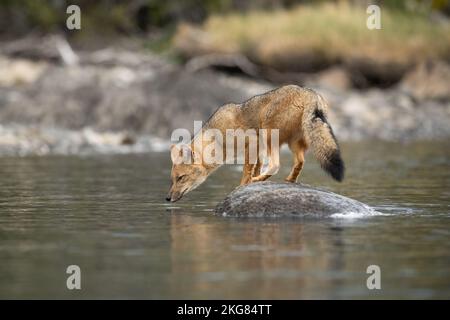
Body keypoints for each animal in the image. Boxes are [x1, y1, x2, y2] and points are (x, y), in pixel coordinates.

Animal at [165, 85, 344, 202]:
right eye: (172, 179)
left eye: (181, 178)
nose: (166, 198)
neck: (216, 139)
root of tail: (311, 94)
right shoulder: (259, 150)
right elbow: (256, 167)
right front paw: (255, 182)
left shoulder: (252, 143)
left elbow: (246, 171)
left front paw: (242, 186)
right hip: (293, 144)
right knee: (300, 162)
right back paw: (288, 180)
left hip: (269, 134)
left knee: (275, 165)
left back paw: (258, 180)